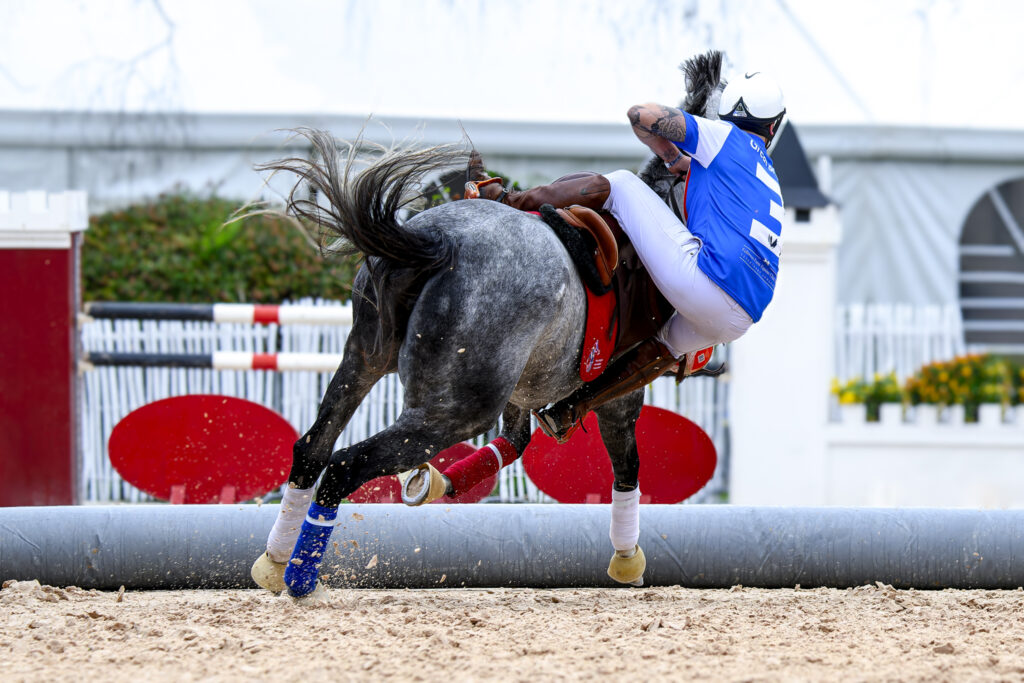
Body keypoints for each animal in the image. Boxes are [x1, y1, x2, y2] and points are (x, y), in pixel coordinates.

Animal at [250, 51, 728, 597]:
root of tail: (439, 243)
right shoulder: (619, 398)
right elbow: (626, 467)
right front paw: (628, 560)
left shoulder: (525, 392)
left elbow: (514, 445)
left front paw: (438, 482)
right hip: (455, 410)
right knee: (345, 463)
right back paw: (301, 575)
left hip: (364, 360)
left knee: (313, 447)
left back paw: (275, 559)